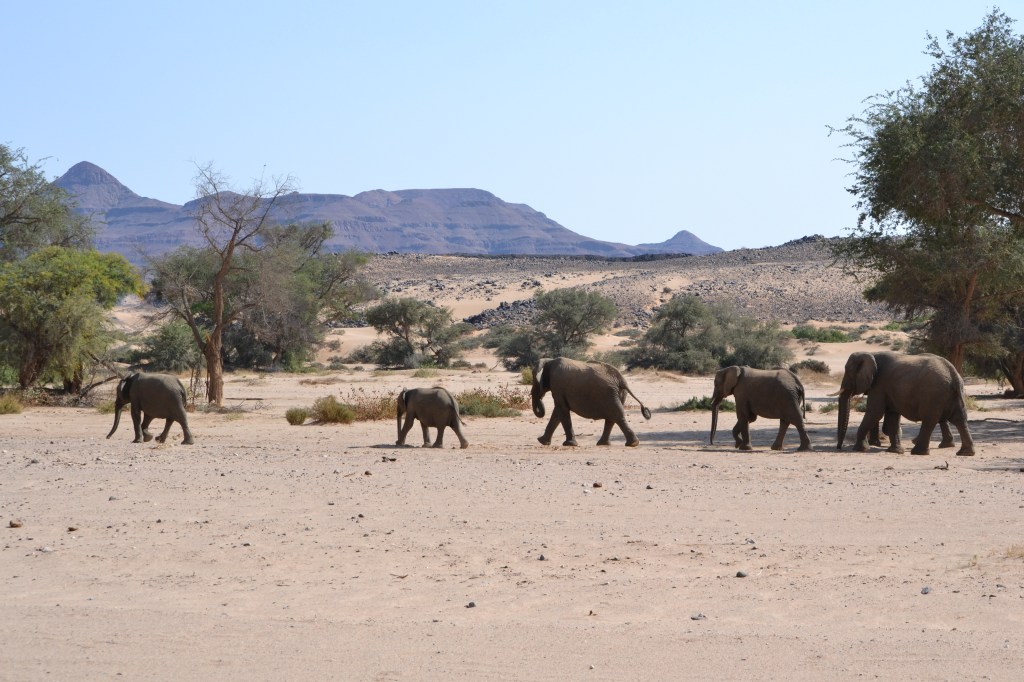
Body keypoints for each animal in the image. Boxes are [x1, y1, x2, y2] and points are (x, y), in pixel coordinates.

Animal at [836, 351, 974, 456]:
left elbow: (875, 412)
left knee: (929, 420)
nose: (839, 447)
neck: (871, 354)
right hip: (953, 395)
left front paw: (859, 449)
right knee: (960, 419)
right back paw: (965, 453)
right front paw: (895, 451)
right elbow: (892, 415)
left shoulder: (879, 385)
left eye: (848, 372)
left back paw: (918, 452)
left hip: (933, 395)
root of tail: (954, 375)